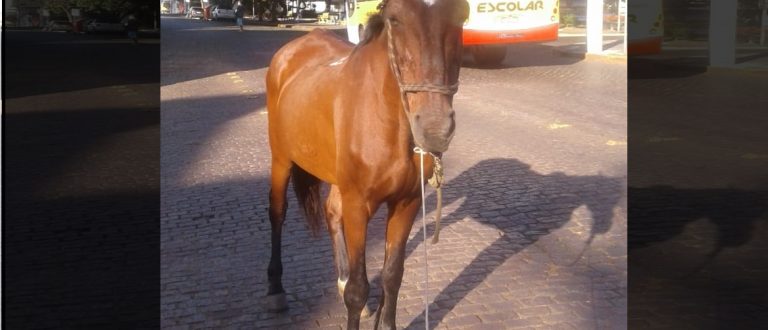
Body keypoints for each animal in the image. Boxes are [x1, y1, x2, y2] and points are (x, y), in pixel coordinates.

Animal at [264, 0, 468, 328]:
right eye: (395, 19)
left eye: (463, 16)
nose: (435, 128)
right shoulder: (358, 205)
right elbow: (358, 290)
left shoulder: (407, 202)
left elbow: (392, 275)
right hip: (281, 159)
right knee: (277, 213)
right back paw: (275, 290)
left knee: (331, 211)